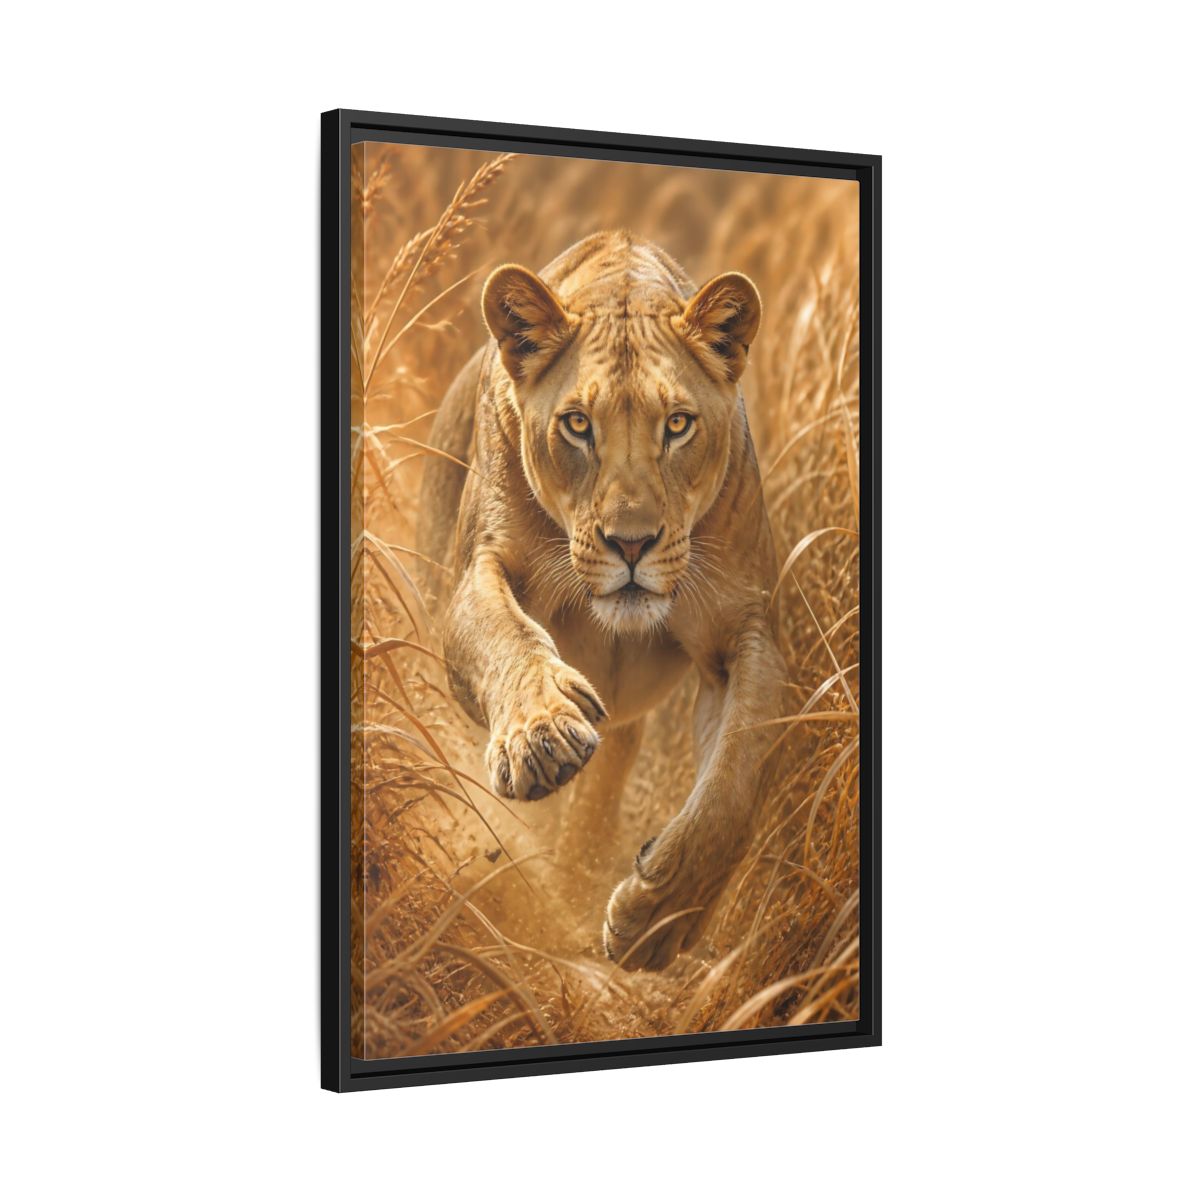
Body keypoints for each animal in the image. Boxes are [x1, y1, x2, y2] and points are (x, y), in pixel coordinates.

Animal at [417, 231, 786, 971]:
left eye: (678, 424)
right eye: (578, 425)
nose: (631, 543)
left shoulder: (744, 627)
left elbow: (737, 776)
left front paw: (655, 921)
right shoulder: (477, 570)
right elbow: (503, 636)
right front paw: (541, 737)